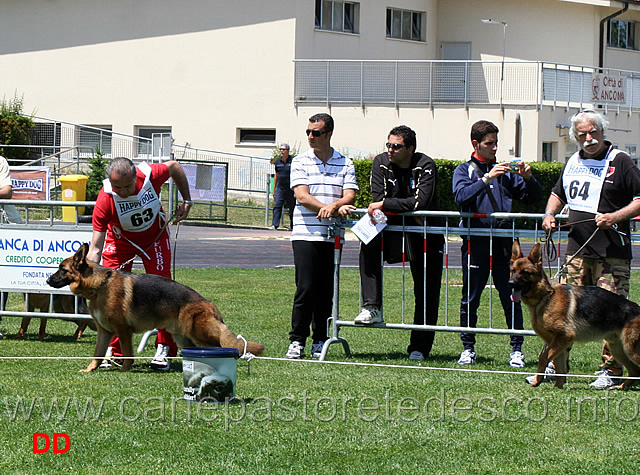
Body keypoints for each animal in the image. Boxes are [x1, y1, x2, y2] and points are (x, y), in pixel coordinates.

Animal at [46, 244, 264, 374]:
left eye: (62, 269)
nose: (47, 281)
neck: (99, 285)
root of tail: (210, 304)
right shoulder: (105, 331)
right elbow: (97, 354)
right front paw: (90, 369)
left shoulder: (123, 331)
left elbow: (127, 353)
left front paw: (124, 370)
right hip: (185, 339)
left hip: (198, 335)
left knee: (221, 348)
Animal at [510, 242, 640, 390]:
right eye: (513, 270)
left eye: (525, 272)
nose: (510, 283)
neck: (546, 296)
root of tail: (637, 308)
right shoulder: (557, 342)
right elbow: (559, 366)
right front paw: (558, 387)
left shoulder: (564, 337)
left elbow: (543, 357)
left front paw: (538, 381)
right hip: (618, 350)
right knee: (634, 370)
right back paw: (621, 387)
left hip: (630, 350)